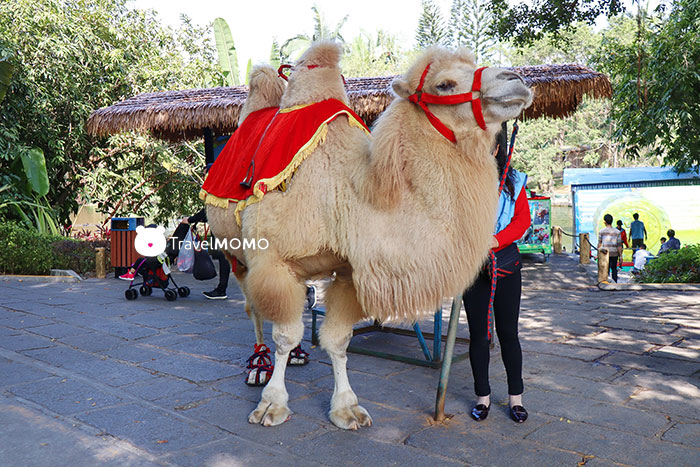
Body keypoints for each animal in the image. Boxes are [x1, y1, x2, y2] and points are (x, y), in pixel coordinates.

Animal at [205, 41, 533, 430]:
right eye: (444, 84)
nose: (515, 79)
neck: (347, 194)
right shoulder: (272, 261)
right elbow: (283, 334)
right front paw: (272, 404)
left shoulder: (350, 271)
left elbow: (337, 339)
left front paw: (346, 408)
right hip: (235, 251)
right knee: (253, 309)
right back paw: (258, 365)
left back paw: (299, 356)